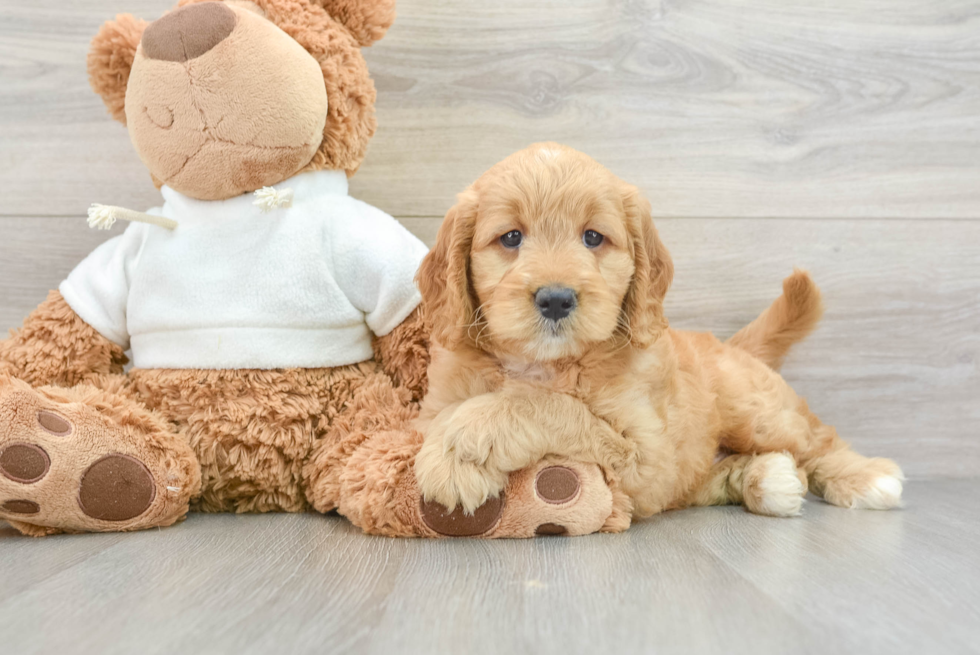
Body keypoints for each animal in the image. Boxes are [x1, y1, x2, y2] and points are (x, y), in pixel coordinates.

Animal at [414, 145, 904, 524]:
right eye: (511, 237)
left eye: (593, 238)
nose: (555, 299)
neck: (545, 363)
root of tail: (729, 345)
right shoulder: (434, 404)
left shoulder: (646, 457)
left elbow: (547, 407)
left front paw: (460, 446)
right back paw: (769, 481)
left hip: (756, 411)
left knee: (818, 438)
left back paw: (864, 477)